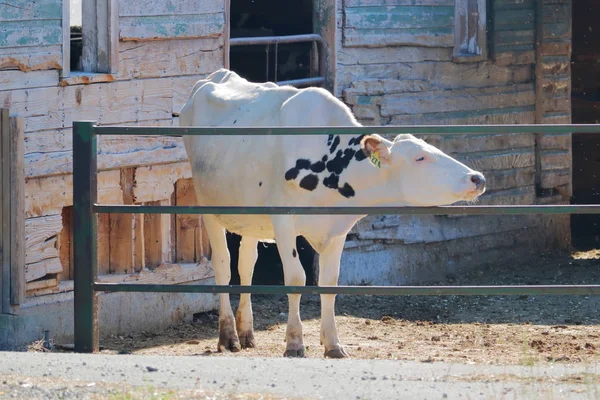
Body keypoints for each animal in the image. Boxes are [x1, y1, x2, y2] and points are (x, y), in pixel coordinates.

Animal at [179, 67, 488, 358]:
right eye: (420, 157)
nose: (477, 178)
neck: (329, 160)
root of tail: (217, 75)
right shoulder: (283, 221)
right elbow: (296, 279)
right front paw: (295, 343)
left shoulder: (338, 227)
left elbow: (329, 282)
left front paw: (333, 344)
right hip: (209, 206)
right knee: (223, 264)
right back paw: (228, 336)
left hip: (250, 216)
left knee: (246, 264)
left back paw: (246, 332)